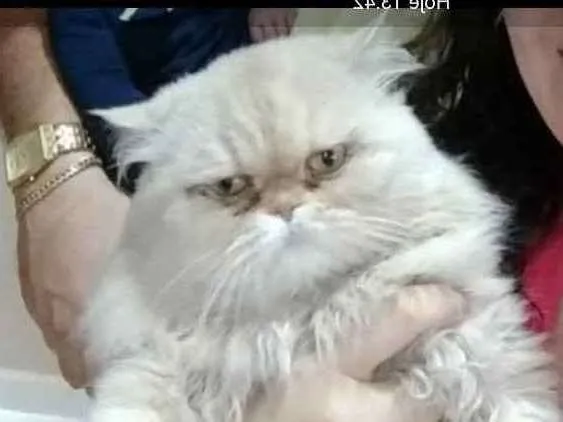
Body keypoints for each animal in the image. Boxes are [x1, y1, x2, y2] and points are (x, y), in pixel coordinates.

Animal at [84, 29, 559, 422]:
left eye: (328, 160)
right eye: (230, 187)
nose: (285, 209)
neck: (306, 322)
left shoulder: (485, 356)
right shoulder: (153, 368)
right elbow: (138, 397)